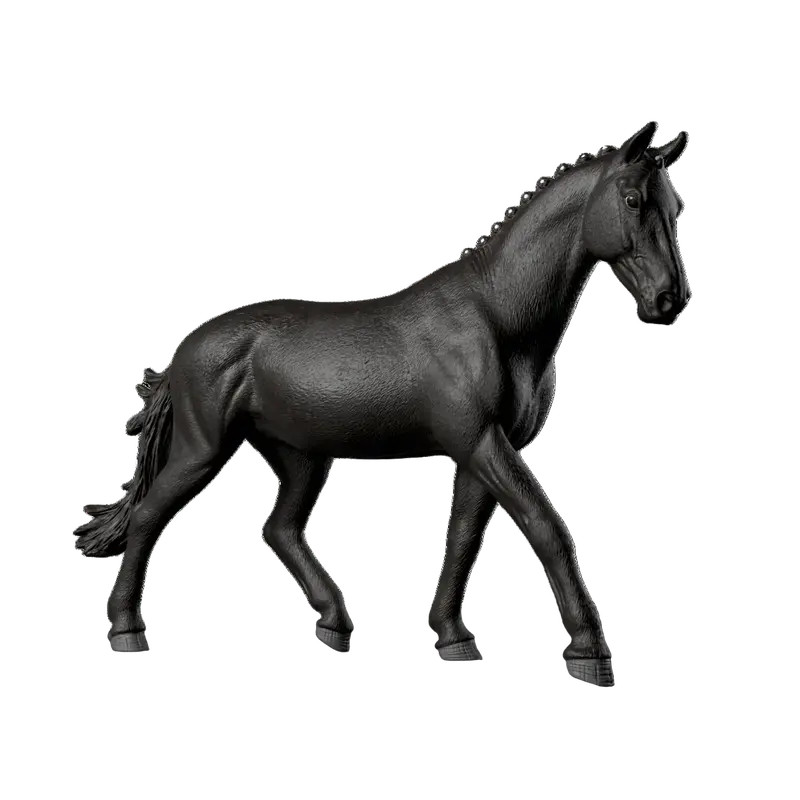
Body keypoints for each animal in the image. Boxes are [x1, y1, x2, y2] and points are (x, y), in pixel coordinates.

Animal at [74, 120, 690, 685]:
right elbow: (546, 527)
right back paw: (125, 628)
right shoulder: (481, 443)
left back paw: (334, 623)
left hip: (301, 458)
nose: (669, 299)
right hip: (204, 449)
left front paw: (452, 638)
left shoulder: (480, 452)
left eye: (674, 205)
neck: (498, 315)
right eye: (632, 200)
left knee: (279, 529)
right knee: (151, 514)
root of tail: (186, 351)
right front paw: (588, 651)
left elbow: (462, 540)